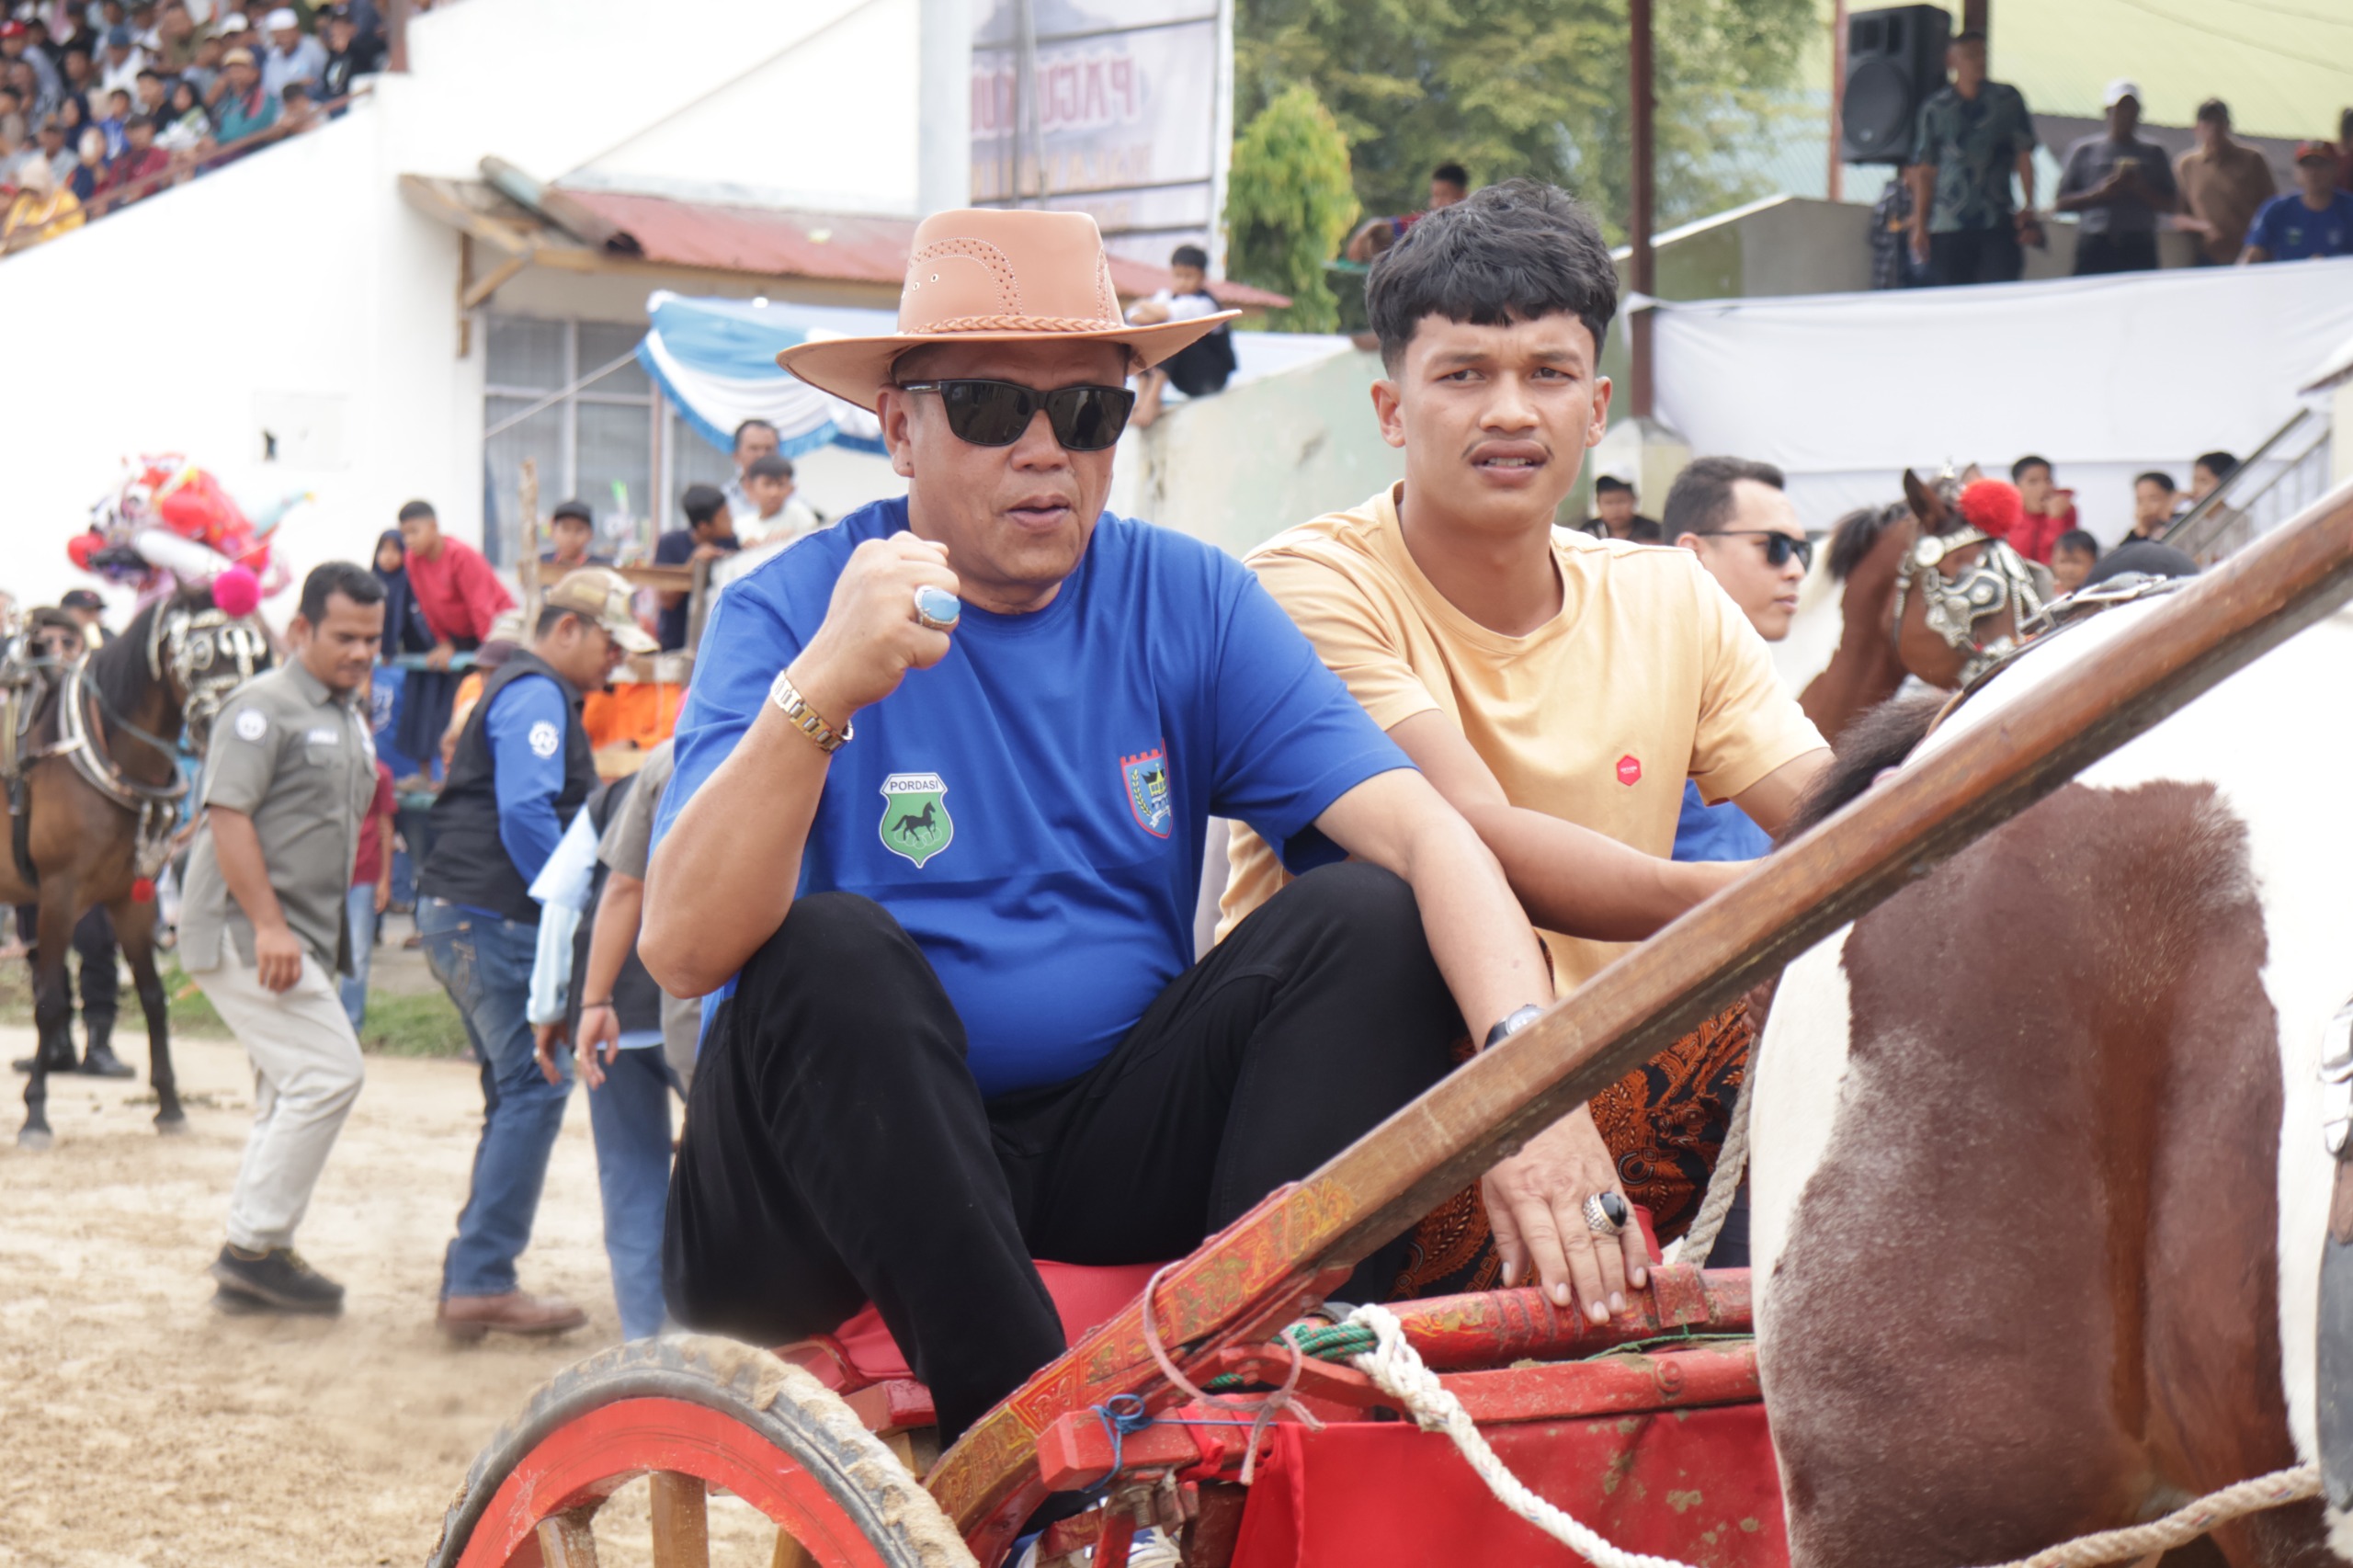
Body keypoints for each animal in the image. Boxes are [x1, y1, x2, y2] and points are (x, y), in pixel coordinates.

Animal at [6, 579, 269, 1143]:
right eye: (202, 653)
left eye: (257, 653)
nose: (239, 724)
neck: (104, 751)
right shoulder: (58, 894)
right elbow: (50, 1001)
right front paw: (35, 1112)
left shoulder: (130, 896)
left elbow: (151, 996)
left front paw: (169, 1106)